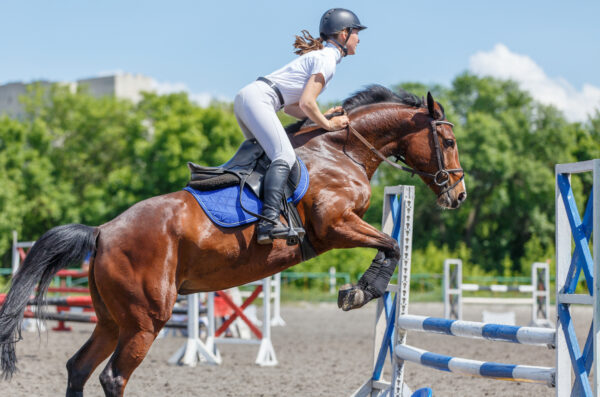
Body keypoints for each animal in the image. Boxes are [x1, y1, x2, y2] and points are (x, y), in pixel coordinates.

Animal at [0, 85, 468, 394]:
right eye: (448, 140)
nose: (459, 195)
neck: (341, 151)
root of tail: (102, 233)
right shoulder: (335, 225)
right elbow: (390, 246)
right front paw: (362, 290)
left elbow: (389, 245)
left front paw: (360, 290)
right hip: (144, 320)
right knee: (113, 376)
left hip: (113, 320)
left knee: (78, 367)